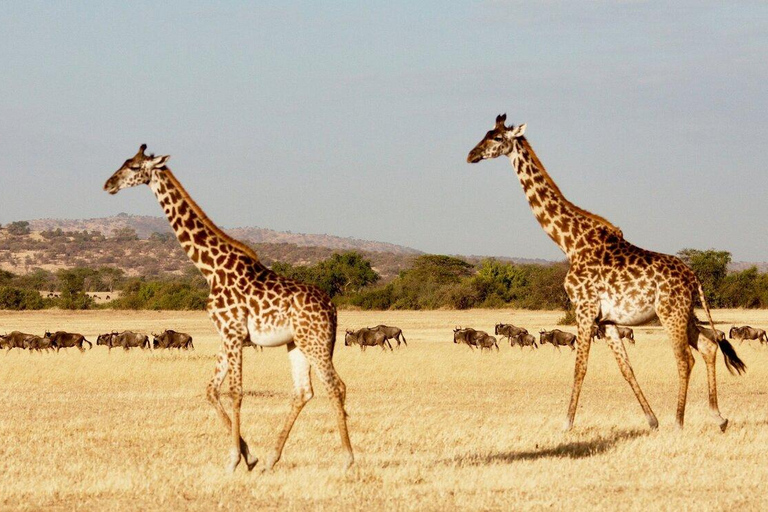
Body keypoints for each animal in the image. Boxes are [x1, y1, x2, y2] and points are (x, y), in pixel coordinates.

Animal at [103, 144, 354, 472]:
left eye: (133, 167)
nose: (108, 184)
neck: (211, 269)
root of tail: (333, 308)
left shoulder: (233, 333)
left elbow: (236, 392)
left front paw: (234, 460)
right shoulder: (226, 335)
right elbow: (210, 390)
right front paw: (249, 455)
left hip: (316, 341)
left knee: (336, 386)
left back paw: (347, 459)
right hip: (297, 343)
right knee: (303, 391)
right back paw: (271, 459)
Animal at [464, 115, 748, 432]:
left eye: (498, 138)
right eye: (486, 133)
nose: (471, 155)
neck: (570, 242)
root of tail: (694, 277)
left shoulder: (584, 308)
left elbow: (580, 367)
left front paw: (567, 424)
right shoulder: (608, 320)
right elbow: (626, 368)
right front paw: (651, 420)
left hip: (670, 312)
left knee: (685, 359)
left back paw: (679, 421)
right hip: (684, 312)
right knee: (709, 345)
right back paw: (718, 417)